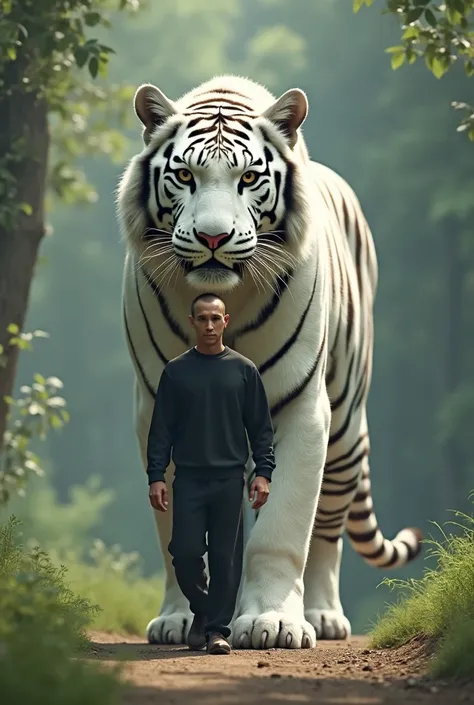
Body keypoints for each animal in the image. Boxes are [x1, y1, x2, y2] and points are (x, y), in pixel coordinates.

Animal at [116, 74, 420, 648]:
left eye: (249, 178)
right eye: (185, 175)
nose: (213, 237)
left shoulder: (302, 409)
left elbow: (284, 527)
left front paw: (272, 621)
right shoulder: (156, 408)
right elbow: (175, 530)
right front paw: (180, 618)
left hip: (345, 428)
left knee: (327, 530)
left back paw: (322, 615)